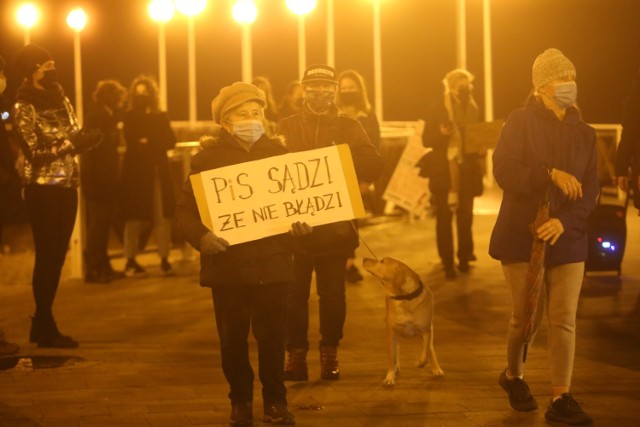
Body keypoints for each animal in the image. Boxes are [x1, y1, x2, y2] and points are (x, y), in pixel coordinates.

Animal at [362, 258, 442, 388]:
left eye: (382, 261)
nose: (364, 258)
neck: (405, 298)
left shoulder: (425, 331)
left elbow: (425, 352)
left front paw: (421, 363)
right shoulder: (392, 334)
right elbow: (392, 358)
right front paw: (390, 377)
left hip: (430, 330)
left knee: (430, 349)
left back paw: (436, 368)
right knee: (397, 350)